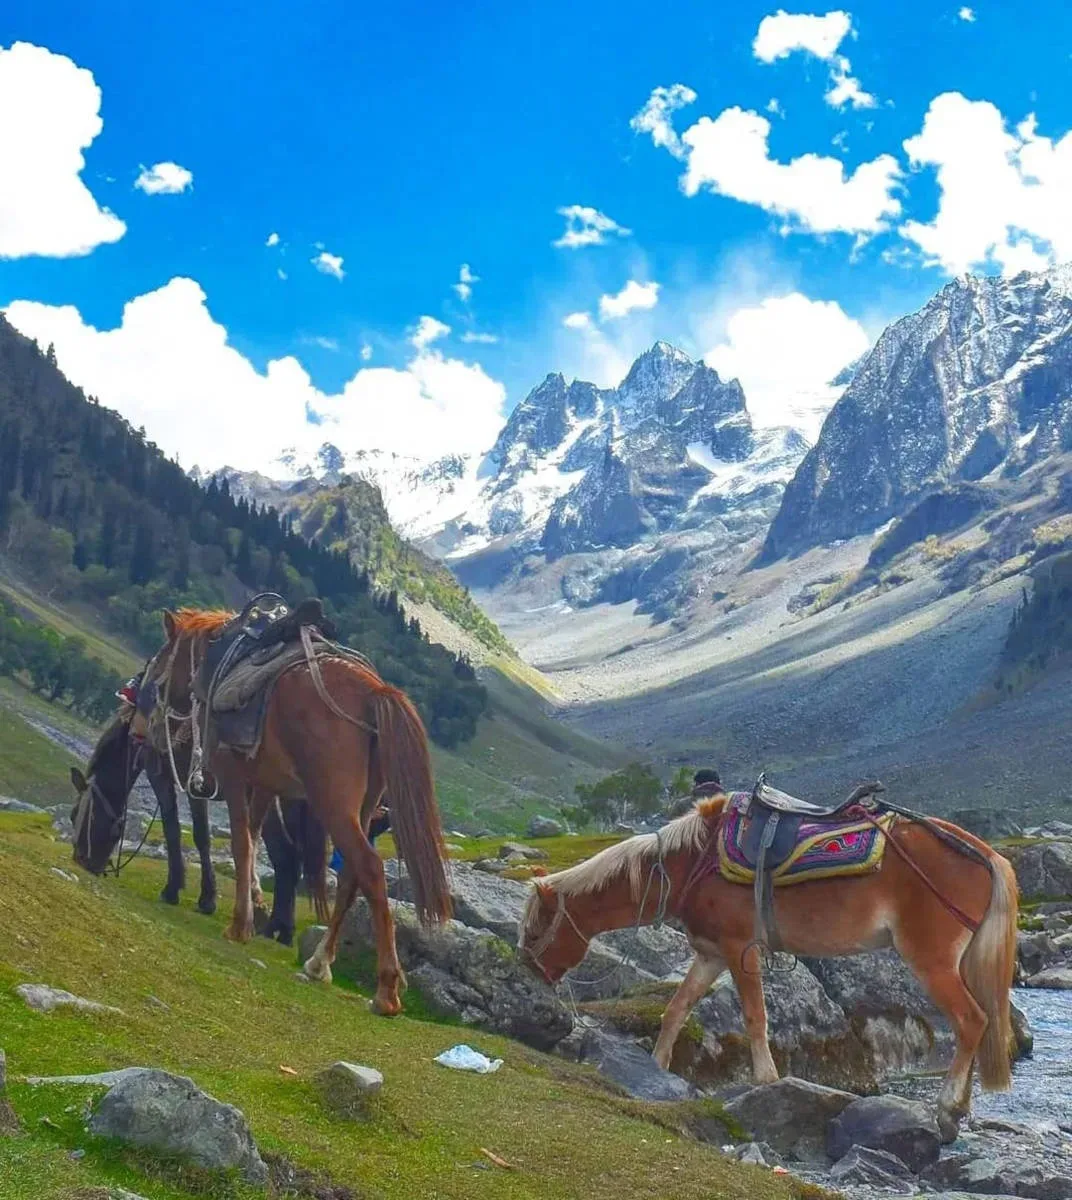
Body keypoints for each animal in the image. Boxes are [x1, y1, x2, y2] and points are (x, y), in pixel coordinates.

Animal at [70, 710, 330, 942]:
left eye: (79, 816)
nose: (81, 860)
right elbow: (197, 834)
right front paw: (205, 896)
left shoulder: (170, 776)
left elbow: (183, 830)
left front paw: (184, 892)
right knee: (291, 856)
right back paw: (280, 927)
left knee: (284, 853)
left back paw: (277, 925)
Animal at [131, 607, 450, 1016]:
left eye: (159, 662)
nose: (146, 728)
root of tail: (374, 691)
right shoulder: (266, 784)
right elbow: (253, 841)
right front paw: (255, 906)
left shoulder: (233, 777)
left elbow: (241, 844)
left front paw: (239, 924)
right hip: (361, 808)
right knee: (351, 876)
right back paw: (320, 962)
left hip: (334, 804)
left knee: (369, 868)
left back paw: (386, 990)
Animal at [518, 793, 1018, 1141]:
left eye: (535, 930)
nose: (530, 973)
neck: (693, 862)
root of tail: (985, 853)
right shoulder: (709, 954)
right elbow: (676, 1009)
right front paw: (657, 1068)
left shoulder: (741, 949)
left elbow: (755, 1016)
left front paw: (766, 1080)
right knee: (981, 1023)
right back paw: (962, 1108)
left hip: (931, 959)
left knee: (971, 1020)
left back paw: (948, 1111)